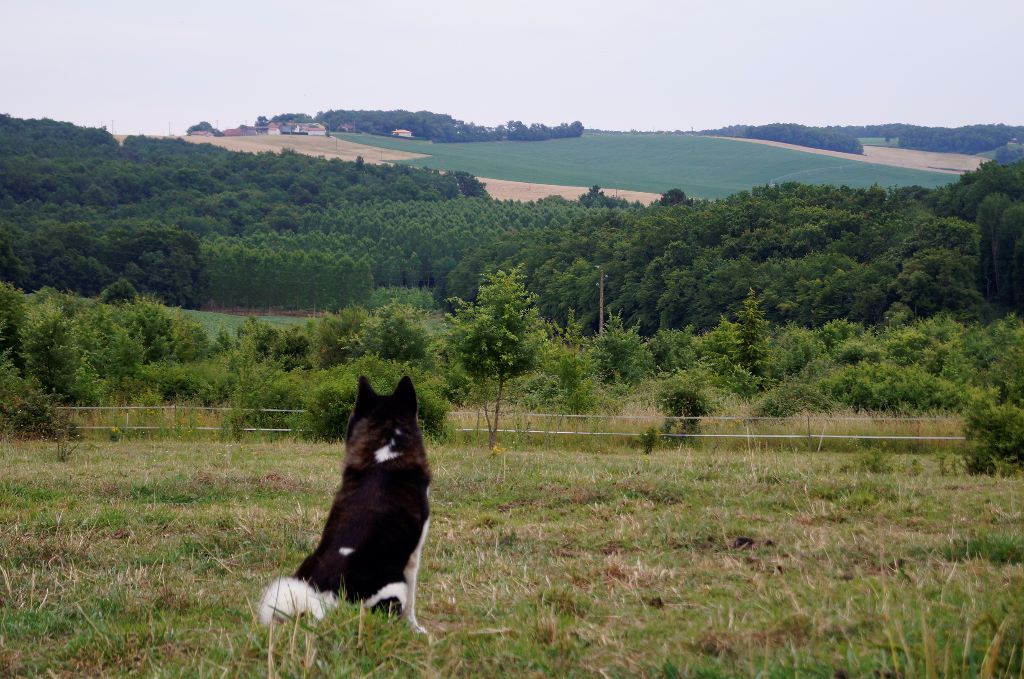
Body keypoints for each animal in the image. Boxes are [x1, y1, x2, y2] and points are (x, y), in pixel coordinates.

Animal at [260, 376, 432, 630]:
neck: (385, 450)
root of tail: (328, 596)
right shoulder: (413, 555)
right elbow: (412, 603)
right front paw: (415, 628)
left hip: (293, 581)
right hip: (394, 584)